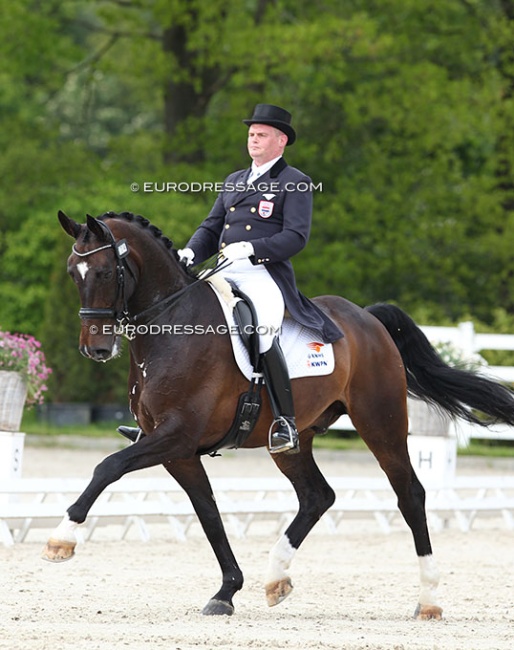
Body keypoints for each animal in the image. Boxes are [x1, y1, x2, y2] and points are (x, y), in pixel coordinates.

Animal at [42, 211, 512, 616]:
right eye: (71, 272)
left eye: (104, 272)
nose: (96, 348)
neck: (172, 326)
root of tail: (367, 318)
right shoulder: (177, 449)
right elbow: (208, 513)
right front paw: (227, 591)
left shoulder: (176, 435)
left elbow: (108, 466)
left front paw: (61, 539)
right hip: (291, 439)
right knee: (317, 496)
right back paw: (275, 577)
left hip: (381, 423)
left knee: (409, 494)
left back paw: (428, 599)